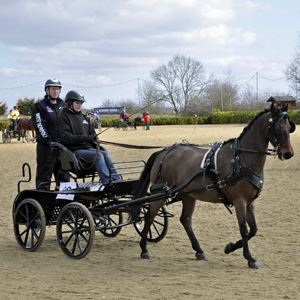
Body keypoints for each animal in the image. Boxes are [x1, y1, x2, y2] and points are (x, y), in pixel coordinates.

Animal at [129, 103, 296, 270]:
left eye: (290, 126)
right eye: (278, 127)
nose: (288, 154)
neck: (240, 159)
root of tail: (163, 151)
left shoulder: (250, 202)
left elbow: (253, 229)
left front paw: (230, 247)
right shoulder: (240, 202)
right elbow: (244, 229)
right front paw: (249, 258)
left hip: (188, 195)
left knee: (185, 220)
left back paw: (199, 251)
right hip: (160, 192)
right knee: (149, 216)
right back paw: (144, 249)